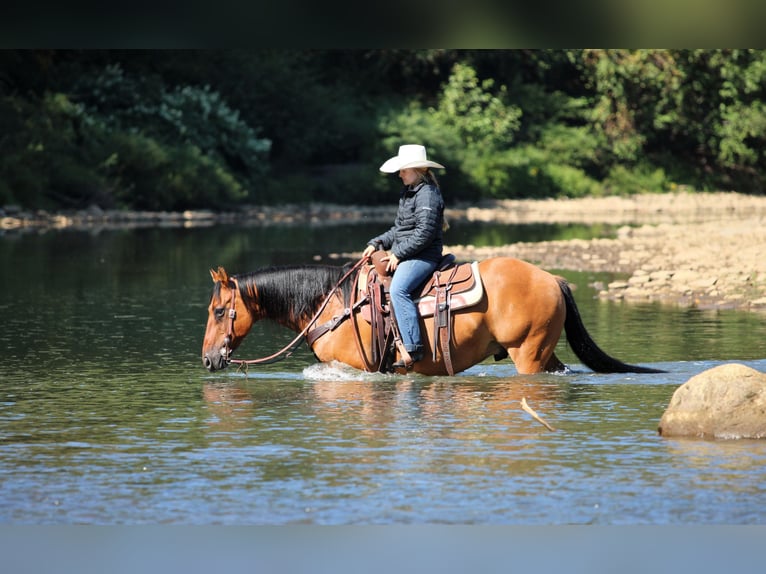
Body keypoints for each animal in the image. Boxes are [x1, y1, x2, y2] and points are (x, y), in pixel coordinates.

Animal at [201, 257, 662, 376]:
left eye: (220, 310)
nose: (208, 359)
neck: (333, 305)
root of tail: (552, 279)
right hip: (545, 352)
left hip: (527, 354)